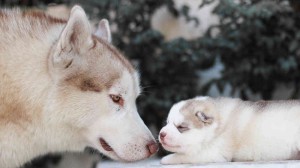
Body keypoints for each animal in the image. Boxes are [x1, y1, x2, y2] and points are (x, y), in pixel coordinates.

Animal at [159, 96, 300, 164]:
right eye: (167, 123)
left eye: (181, 127)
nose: (161, 134)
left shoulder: (214, 152)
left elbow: (183, 156)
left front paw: (166, 159)